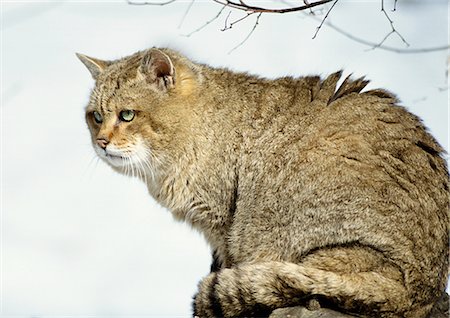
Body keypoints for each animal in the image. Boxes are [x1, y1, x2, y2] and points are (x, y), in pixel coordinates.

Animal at [78, 47, 450, 318]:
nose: (101, 142)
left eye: (127, 115)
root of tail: (417, 293)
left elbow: (228, 263)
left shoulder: (224, 225)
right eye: (95, 117)